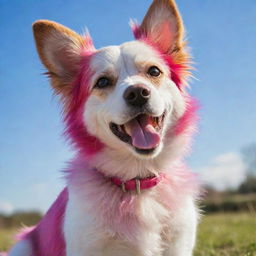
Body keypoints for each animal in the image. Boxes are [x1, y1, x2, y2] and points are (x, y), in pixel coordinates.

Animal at [8, 0, 200, 256]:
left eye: (154, 71)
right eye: (103, 82)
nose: (137, 92)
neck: (136, 180)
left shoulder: (179, 241)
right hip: (23, 246)